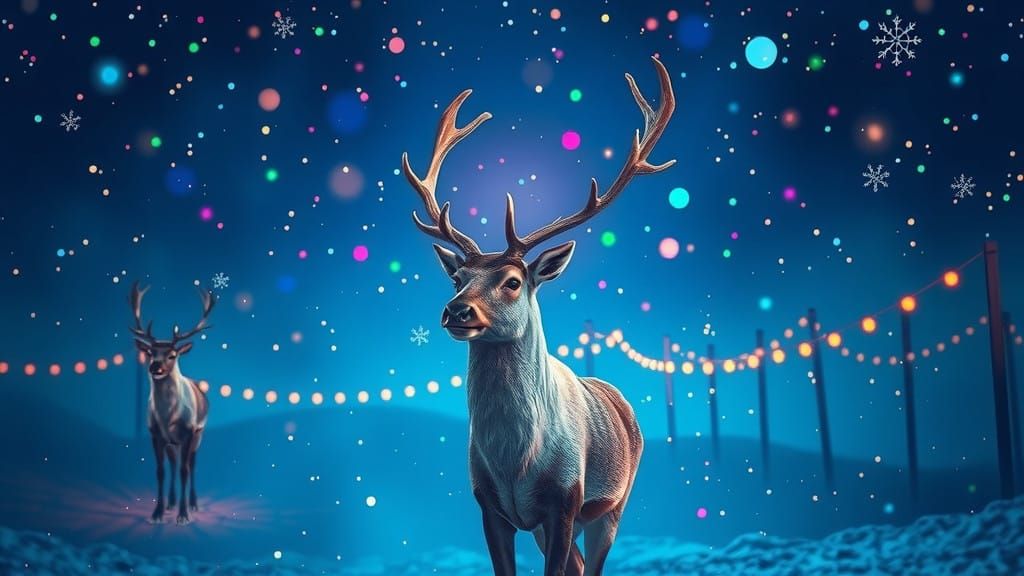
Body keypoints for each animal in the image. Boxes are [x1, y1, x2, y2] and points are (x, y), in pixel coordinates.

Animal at [129, 282, 213, 525]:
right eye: (150, 352)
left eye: (173, 354)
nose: (154, 367)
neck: (168, 417)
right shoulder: (155, 434)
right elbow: (160, 471)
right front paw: (157, 513)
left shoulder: (189, 432)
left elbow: (185, 471)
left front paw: (183, 515)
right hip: (171, 443)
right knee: (174, 464)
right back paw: (171, 502)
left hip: (198, 435)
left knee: (191, 465)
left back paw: (192, 504)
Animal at [401, 57, 675, 575]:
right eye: (456, 277)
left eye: (512, 281)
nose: (455, 310)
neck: (516, 465)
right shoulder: (490, 507)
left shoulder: (565, 500)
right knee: (579, 565)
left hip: (614, 504)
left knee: (593, 563)